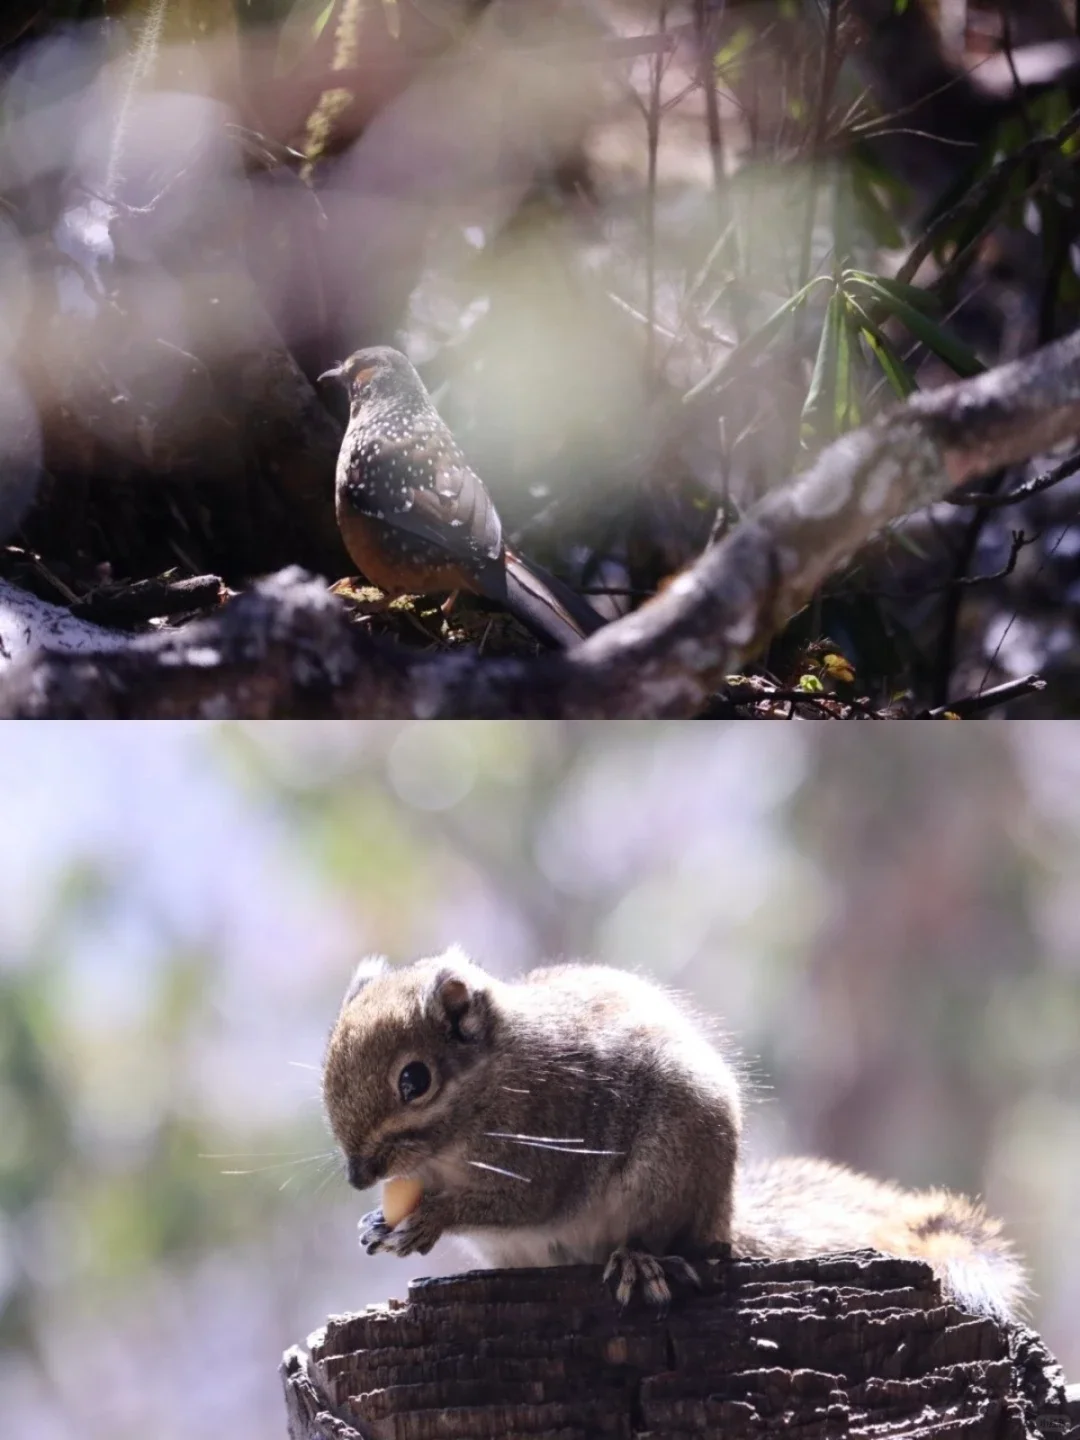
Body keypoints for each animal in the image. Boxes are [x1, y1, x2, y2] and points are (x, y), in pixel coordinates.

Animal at [324, 944, 1031, 1319]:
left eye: (414, 1080)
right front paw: (375, 1223)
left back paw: (638, 1261)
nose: (358, 1177)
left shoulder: (547, 1131)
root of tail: (726, 1216)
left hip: (677, 1171)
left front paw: (430, 1219)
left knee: (671, 1241)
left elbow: (522, 1201)